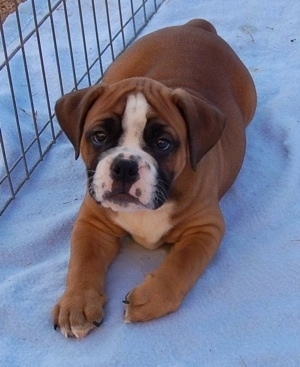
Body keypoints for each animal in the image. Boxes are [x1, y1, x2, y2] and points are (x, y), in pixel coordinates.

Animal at [51, 19, 255, 340]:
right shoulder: (91, 224)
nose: (124, 167)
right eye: (99, 136)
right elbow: (83, 262)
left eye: (162, 144)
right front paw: (76, 304)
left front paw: (152, 297)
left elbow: (181, 265)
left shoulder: (205, 229)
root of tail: (197, 27)